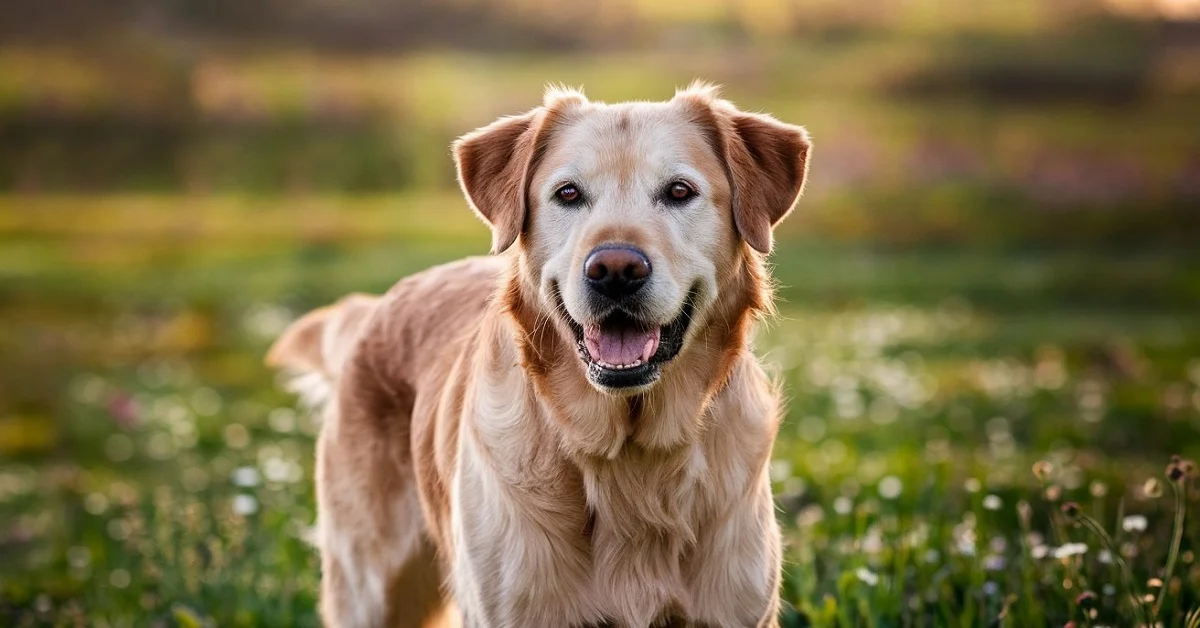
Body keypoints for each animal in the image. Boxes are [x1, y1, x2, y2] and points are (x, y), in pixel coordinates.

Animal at [270, 84, 816, 628]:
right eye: (568, 193)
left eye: (680, 192)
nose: (615, 270)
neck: (629, 453)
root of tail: (375, 308)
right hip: (367, 586)